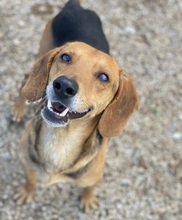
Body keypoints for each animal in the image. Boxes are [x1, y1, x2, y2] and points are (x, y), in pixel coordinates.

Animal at [13, 0, 138, 213]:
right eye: (65, 57)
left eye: (104, 77)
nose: (63, 86)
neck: (61, 140)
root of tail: (75, 6)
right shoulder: (26, 161)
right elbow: (30, 179)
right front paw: (27, 191)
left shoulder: (94, 176)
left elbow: (89, 187)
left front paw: (88, 199)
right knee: (25, 80)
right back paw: (18, 110)